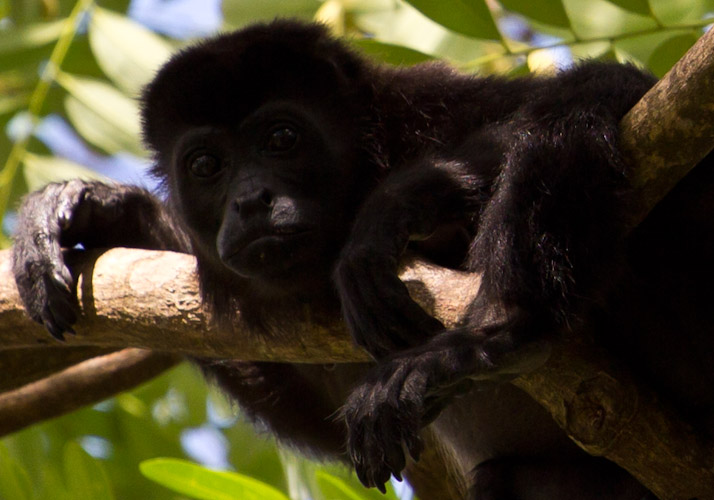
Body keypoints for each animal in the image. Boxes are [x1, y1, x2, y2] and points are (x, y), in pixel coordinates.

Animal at [11, 17, 712, 498]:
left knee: (593, 95)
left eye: (282, 137)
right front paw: (102, 209)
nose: (251, 200)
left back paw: (498, 334)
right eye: (206, 166)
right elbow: (320, 412)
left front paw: (389, 214)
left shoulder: (439, 104)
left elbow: (611, 99)